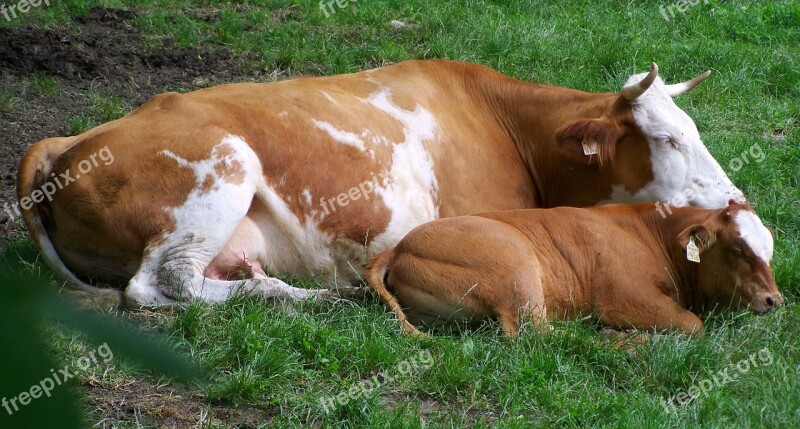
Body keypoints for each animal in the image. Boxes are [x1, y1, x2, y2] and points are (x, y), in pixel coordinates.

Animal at [17, 61, 744, 308]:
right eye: (669, 140)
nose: (735, 199)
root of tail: (68, 141)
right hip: (223, 164)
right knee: (160, 285)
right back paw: (309, 296)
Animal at [366, 202, 780, 336]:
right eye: (738, 248)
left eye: (769, 247)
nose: (774, 299)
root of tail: (399, 246)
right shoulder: (626, 298)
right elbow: (694, 325)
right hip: (515, 264)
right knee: (538, 335)